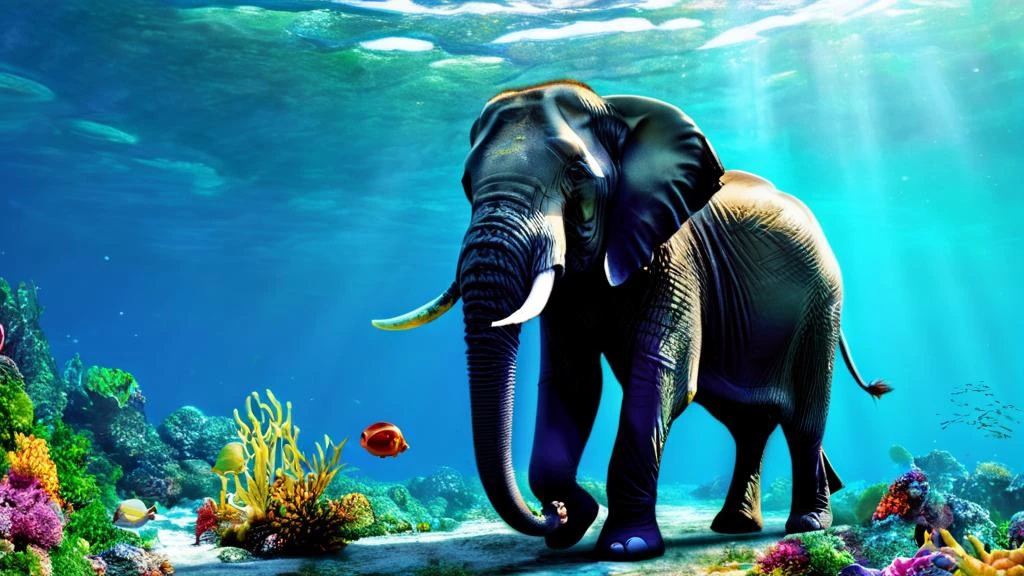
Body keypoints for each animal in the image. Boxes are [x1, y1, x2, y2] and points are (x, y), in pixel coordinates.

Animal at [372, 80, 890, 561]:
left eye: (576, 173)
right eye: (465, 183)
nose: (552, 515)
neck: (615, 113)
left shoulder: (673, 255)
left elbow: (660, 375)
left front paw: (626, 547)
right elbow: (572, 383)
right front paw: (572, 524)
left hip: (821, 305)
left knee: (802, 420)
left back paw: (807, 524)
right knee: (746, 422)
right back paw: (735, 526)